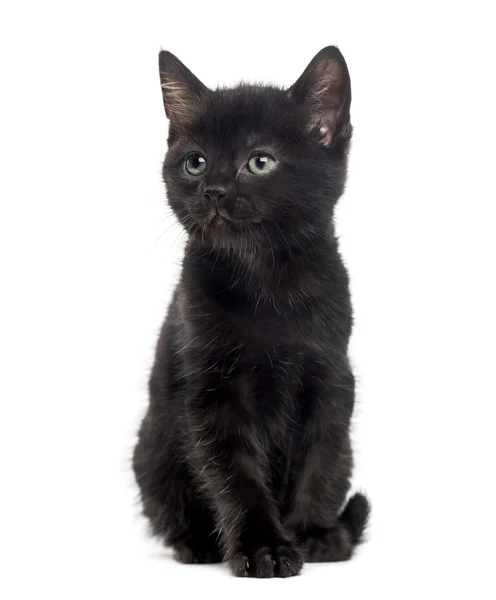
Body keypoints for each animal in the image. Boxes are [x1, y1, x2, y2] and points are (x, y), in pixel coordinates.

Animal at [134, 45, 370, 576]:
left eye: (259, 162)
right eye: (195, 163)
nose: (215, 191)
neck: (267, 282)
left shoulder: (331, 377)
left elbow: (322, 457)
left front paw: (313, 534)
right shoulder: (211, 391)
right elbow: (234, 475)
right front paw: (265, 547)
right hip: (153, 452)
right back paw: (197, 544)